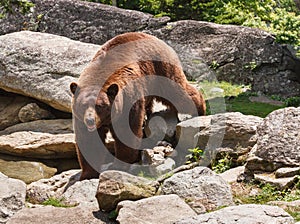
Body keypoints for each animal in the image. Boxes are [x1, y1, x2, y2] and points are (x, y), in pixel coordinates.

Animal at [70, 32, 206, 180]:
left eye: (100, 106)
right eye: (83, 105)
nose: (90, 120)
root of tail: (159, 40)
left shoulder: (128, 100)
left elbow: (126, 132)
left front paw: (120, 164)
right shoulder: (80, 119)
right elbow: (89, 140)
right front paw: (87, 174)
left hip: (160, 70)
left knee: (176, 92)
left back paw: (200, 109)